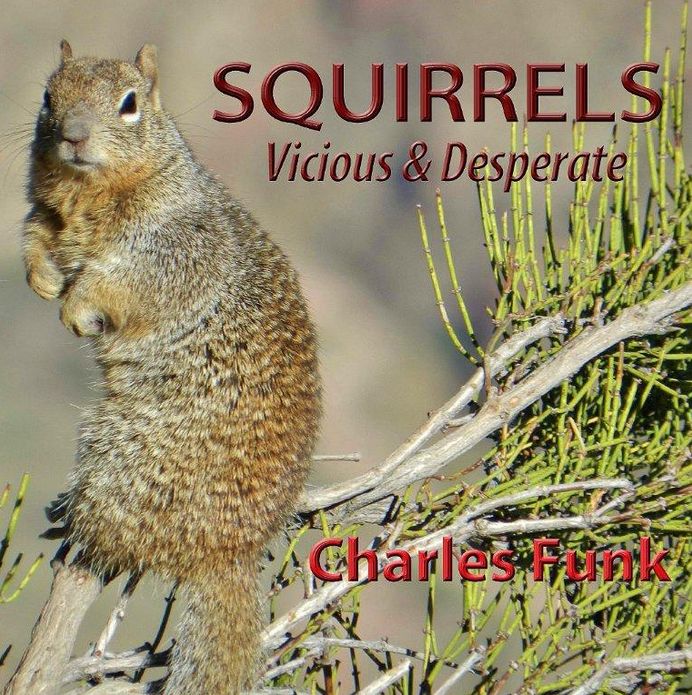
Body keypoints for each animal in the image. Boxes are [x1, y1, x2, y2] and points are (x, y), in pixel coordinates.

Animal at [23, 40, 321, 694]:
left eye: (130, 103)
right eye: (48, 96)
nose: (73, 135)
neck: (88, 197)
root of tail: (231, 553)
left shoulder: (169, 251)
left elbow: (115, 284)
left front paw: (76, 310)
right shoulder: (43, 216)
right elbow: (34, 239)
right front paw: (42, 281)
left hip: (120, 458)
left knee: (115, 537)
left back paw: (72, 525)